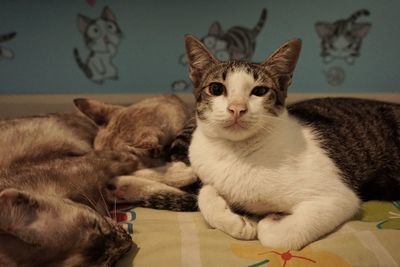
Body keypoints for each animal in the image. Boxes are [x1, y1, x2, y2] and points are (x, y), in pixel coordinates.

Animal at [184, 34, 400, 250]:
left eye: (260, 91)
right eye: (216, 88)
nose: (237, 108)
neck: (235, 152)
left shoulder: (338, 197)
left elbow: (275, 237)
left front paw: (270, 219)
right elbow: (205, 193)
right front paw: (239, 223)